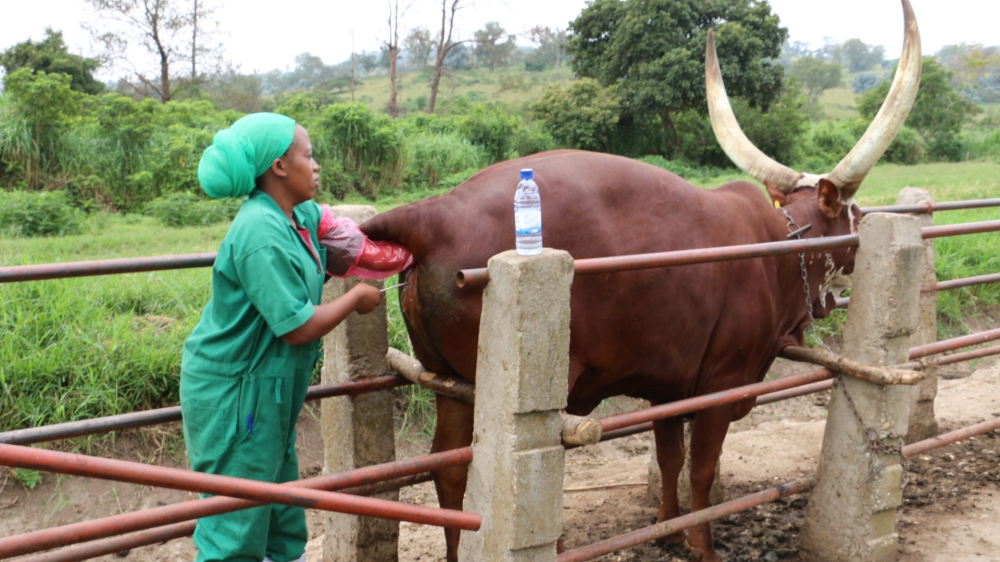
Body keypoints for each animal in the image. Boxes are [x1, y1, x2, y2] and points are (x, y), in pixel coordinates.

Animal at [360, 3, 920, 556]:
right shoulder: (720, 386)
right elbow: (701, 470)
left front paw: (666, 526)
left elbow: (670, 458)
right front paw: (701, 544)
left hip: (448, 384)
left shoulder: (670, 386)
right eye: (854, 215)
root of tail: (436, 213)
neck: (780, 249)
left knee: (449, 472)